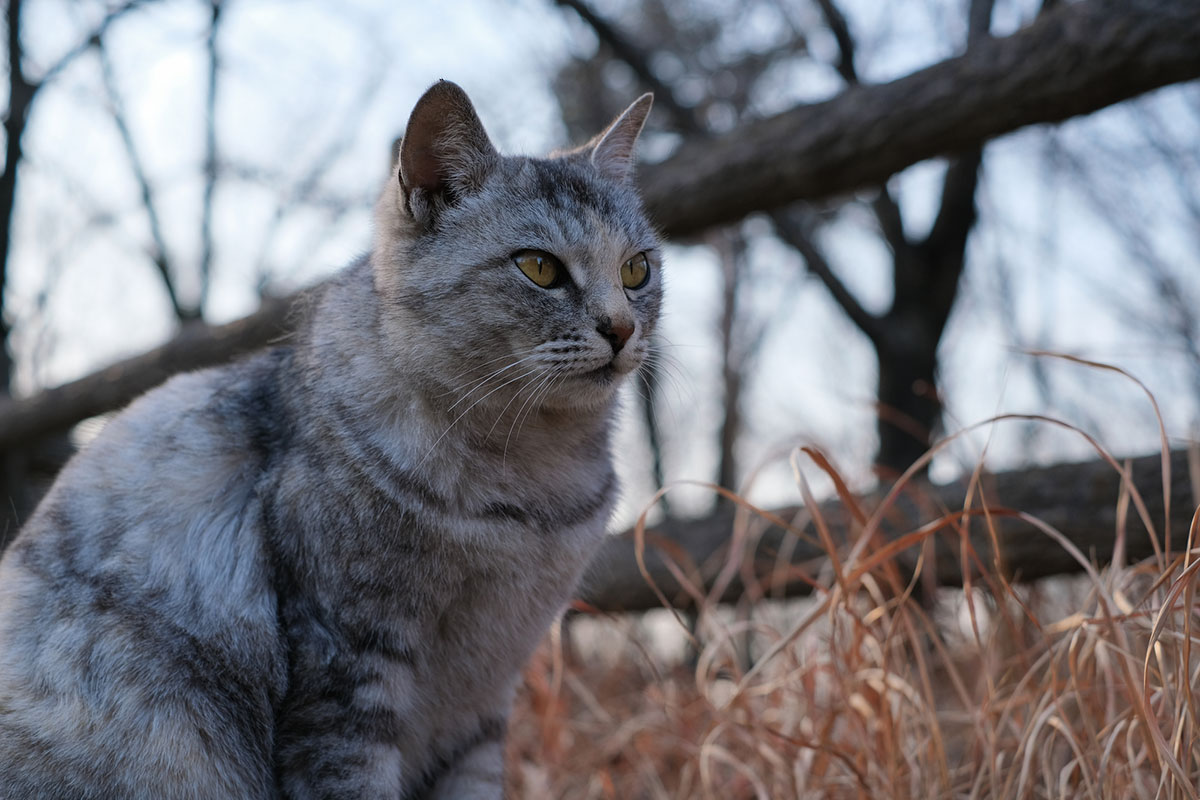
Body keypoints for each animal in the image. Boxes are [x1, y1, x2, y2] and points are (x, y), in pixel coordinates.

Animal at [0, 81, 662, 800]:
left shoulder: (484, 697)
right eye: (539, 267)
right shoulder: (344, 663)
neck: (530, 483)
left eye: (636, 270)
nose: (622, 329)